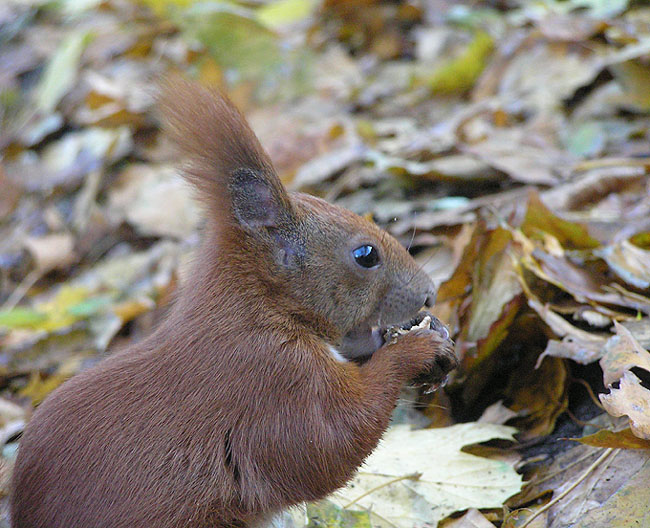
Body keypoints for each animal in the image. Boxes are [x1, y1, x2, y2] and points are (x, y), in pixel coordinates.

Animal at [11, 80, 456, 528]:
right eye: (366, 255)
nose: (429, 294)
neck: (257, 307)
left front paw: (431, 331)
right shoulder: (273, 380)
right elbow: (333, 440)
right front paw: (415, 349)